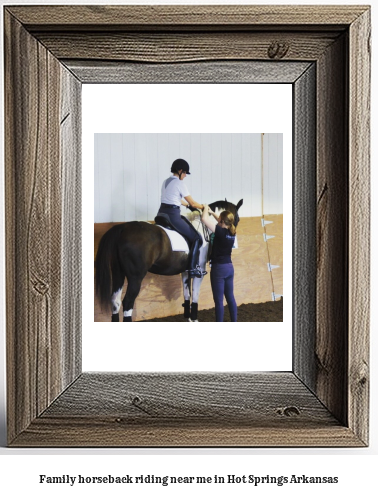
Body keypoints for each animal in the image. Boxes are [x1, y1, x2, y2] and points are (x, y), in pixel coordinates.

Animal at [94, 198, 242, 320]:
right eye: (238, 219)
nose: (233, 234)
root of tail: (123, 228)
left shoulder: (186, 272)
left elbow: (187, 294)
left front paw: (188, 318)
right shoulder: (199, 273)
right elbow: (195, 296)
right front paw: (194, 319)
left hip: (118, 273)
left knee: (115, 301)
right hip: (135, 277)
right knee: (128, 302)